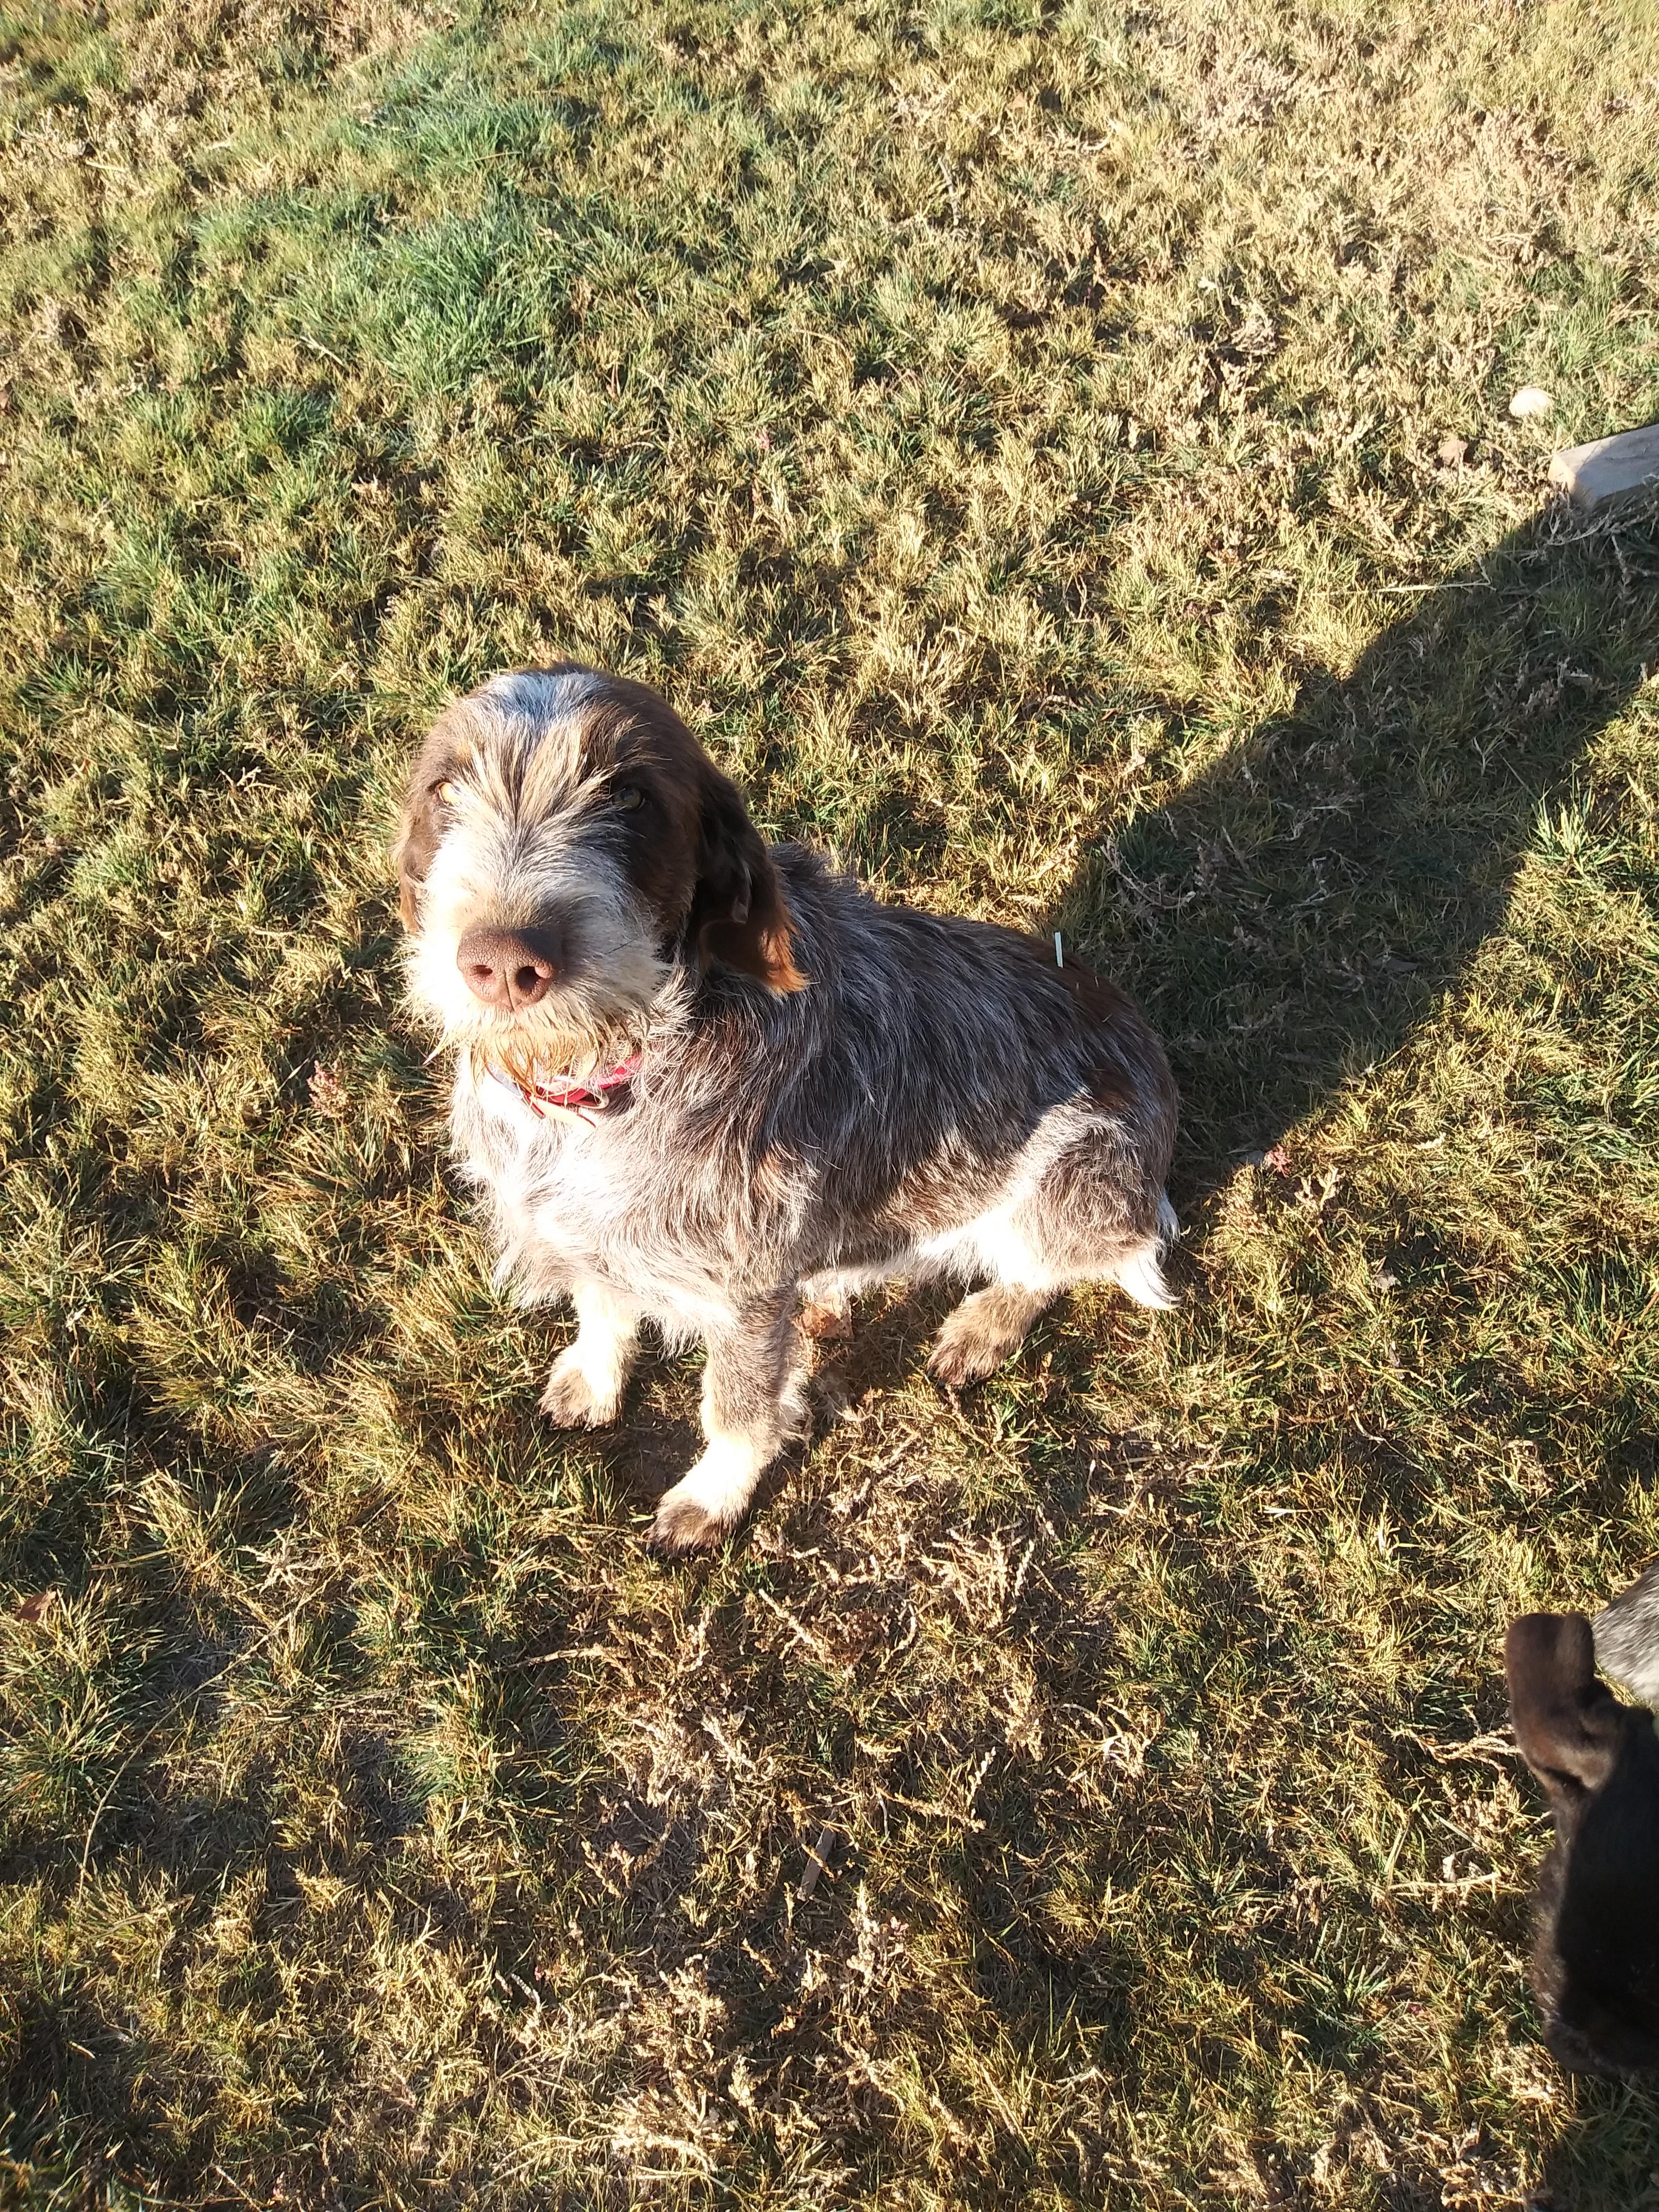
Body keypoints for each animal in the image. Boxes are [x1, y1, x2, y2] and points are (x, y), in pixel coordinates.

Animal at [394, 665, 1179, 1551]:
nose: (504, 962)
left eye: (629, 796)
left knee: (1058, 1266)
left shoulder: (747, 1293)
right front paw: (594, 1377)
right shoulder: (587, 1234)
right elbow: (602, 1309)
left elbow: (735, 1411)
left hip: (1076, 1176)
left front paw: (713, 1496)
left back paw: (981, 1323)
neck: (605, 1080)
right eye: (445, 789)